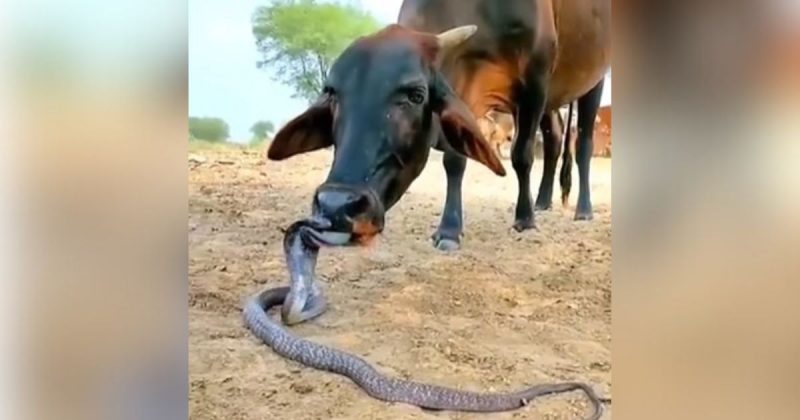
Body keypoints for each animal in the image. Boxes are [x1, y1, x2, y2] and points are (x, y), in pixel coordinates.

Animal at [399, 0, 611, 250]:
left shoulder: (534, 83)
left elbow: (522, 155)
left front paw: (525, 219)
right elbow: (454, 160)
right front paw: (449, 229)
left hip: (593, 82)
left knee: (583, 145)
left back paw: (584, 210)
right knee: (554, 140)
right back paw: (542, 201)